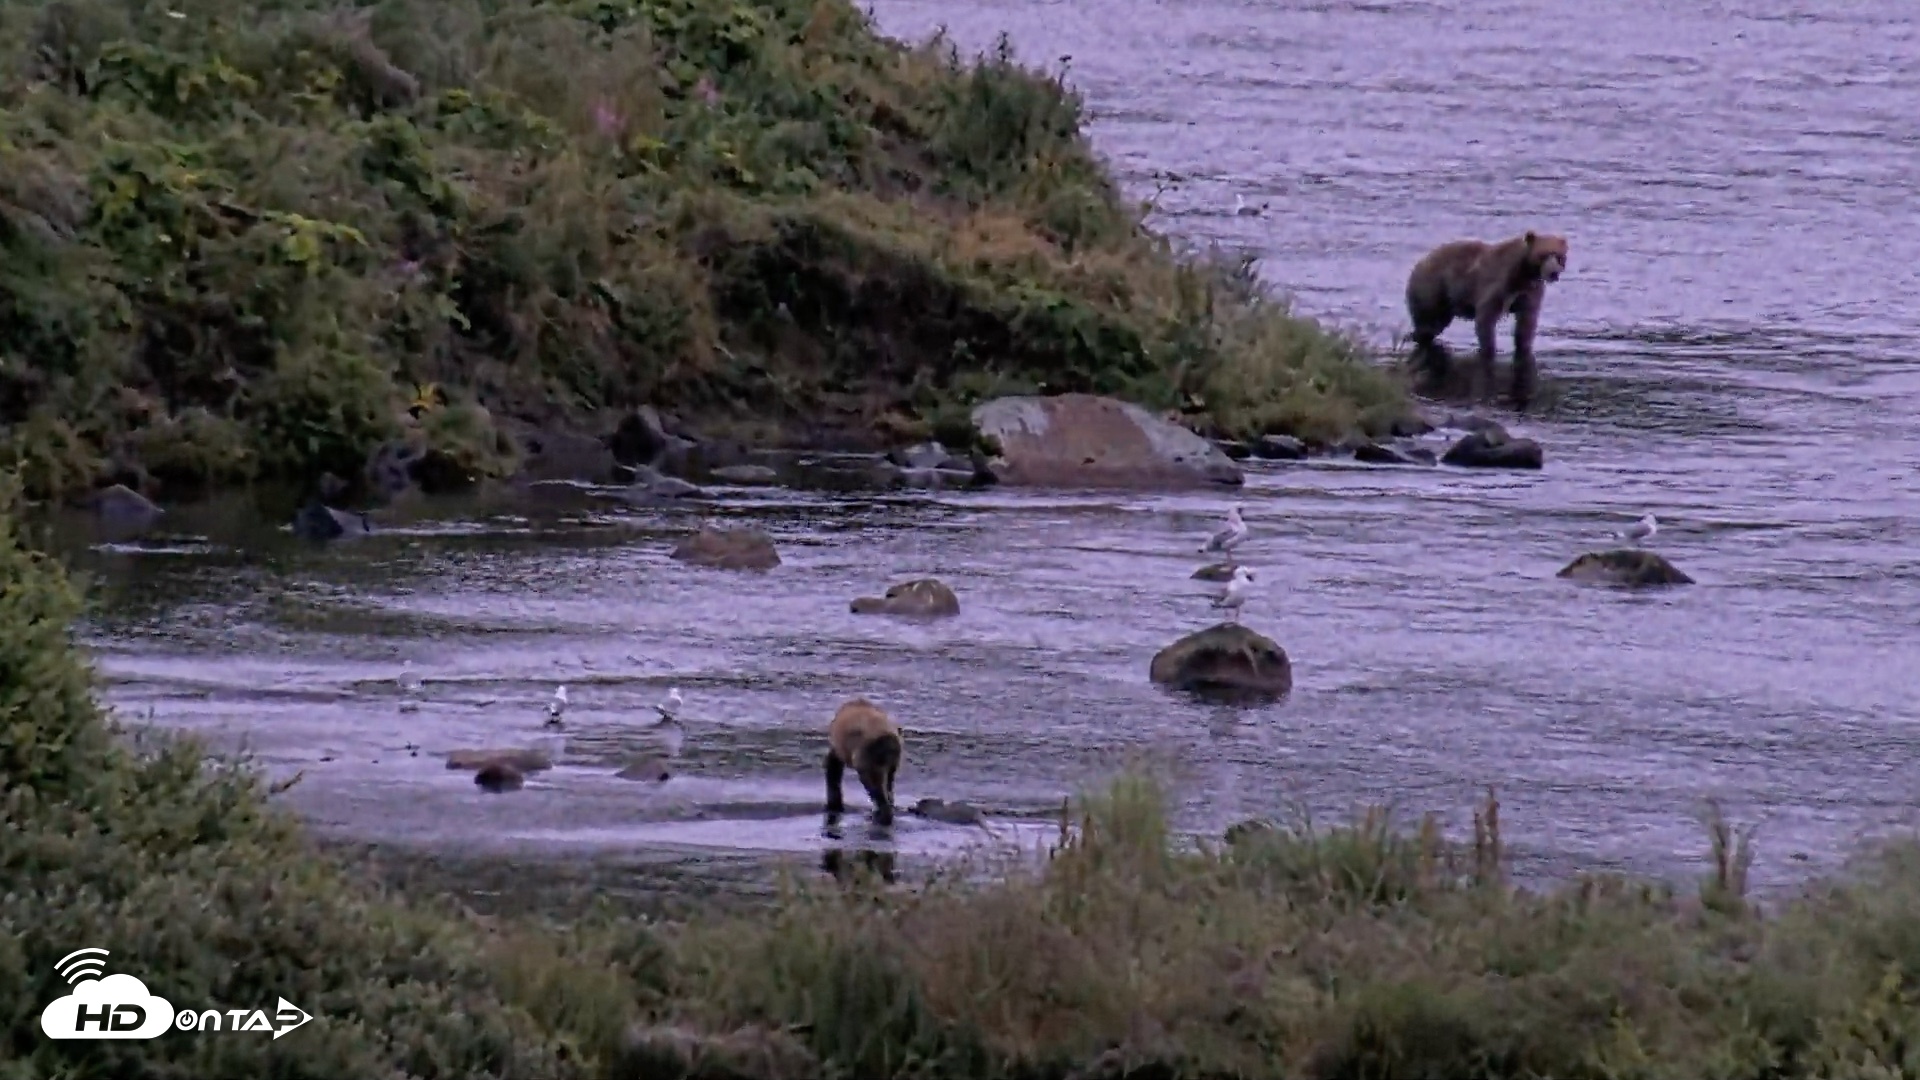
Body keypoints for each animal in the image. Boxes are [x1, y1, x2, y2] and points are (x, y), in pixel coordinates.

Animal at [1404, 230, 1570, 408]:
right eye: (1543, 254)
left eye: (1559, 256)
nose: (1553, 273)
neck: (1523, 273)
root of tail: (1420, 262)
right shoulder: (1496, 285)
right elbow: (1486, 318)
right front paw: (1489, 350)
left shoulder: (1529, 292)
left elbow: (1526, 324)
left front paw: (1523, 349)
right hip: (1433, 289)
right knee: (1427, 323)